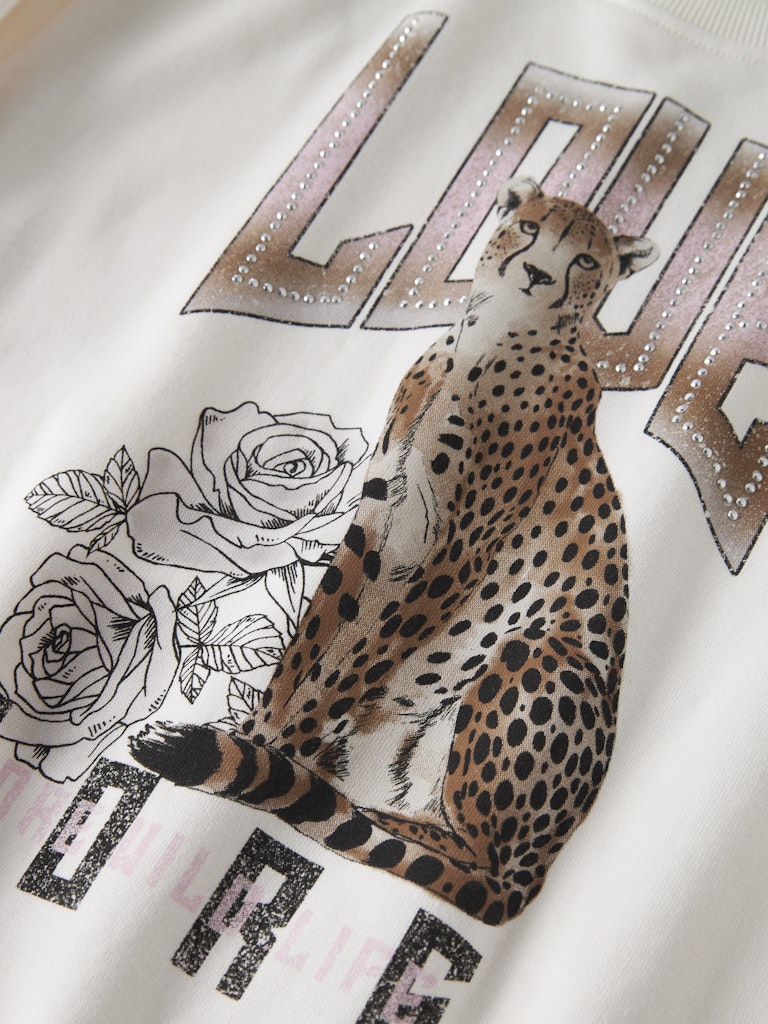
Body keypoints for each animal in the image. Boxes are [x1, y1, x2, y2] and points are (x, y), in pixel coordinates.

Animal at [131, 178, 659, 926]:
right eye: (527, 229)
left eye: (586, 261)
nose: (536, 272)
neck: (490, 340)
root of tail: (542, 868)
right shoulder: (381, 517)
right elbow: (317, 640)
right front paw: (260, 731)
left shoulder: (454, 554)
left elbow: (360, 660)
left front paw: (271, 752)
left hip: (540, 653)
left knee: (471, 858)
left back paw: (340, 804)